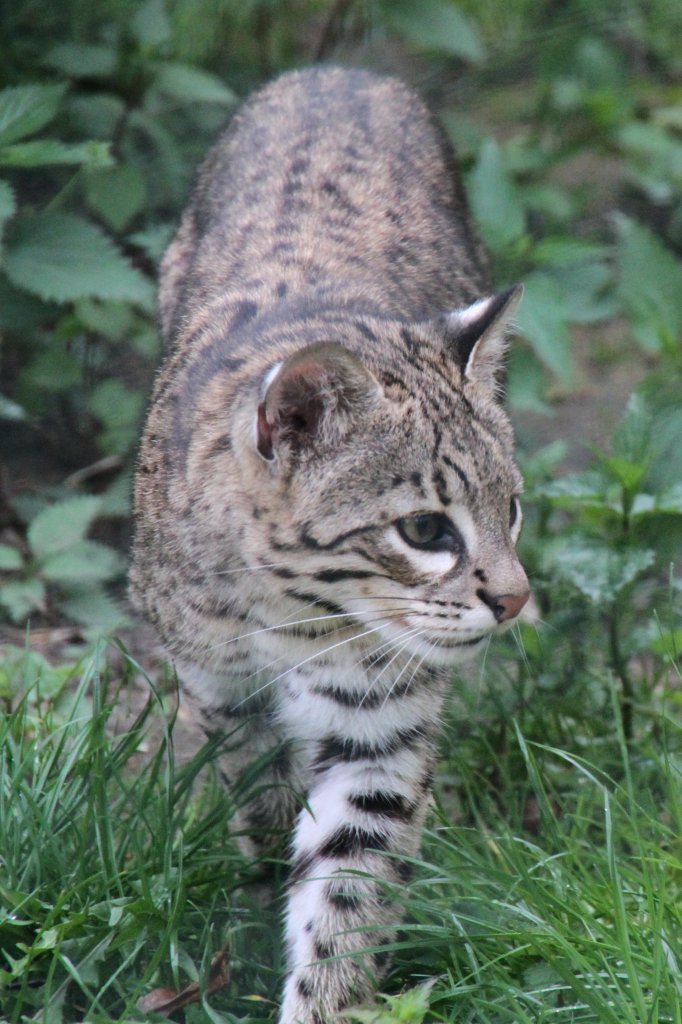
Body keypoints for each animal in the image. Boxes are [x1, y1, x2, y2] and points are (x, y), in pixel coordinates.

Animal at [130, 66, 528, 1024]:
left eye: (512, 509)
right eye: (425, 530)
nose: (514, 599)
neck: (292, 614)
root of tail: (340, 72)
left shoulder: (378, 727)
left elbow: (349, 889)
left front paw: (328, 998)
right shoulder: (219, 686)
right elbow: (259, 790)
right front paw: (263, 867)